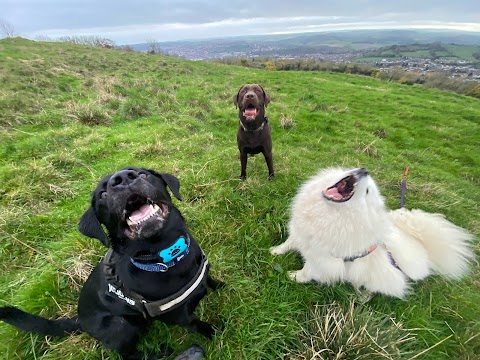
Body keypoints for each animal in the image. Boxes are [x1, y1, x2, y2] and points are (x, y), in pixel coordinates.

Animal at [0, 168, 221, 360]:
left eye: (143, 174)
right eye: (103, 194)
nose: (122, 178)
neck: (168, 255)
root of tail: (80, 320)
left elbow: (210, 280)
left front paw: (220, 286)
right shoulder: (181, 317)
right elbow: (197, 324)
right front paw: (215, 332)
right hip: (119, 324)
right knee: (127, 354)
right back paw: (159, 354)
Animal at [272, 167, 474, 296]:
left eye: (368, 191)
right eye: (351, 167)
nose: (364, 170)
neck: (329, 214)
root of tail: (423, 247)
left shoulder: (323, 261)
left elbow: (307, 273)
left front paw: (293, 276)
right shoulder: (301, 235)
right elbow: (288, 244)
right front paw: (275, 251)